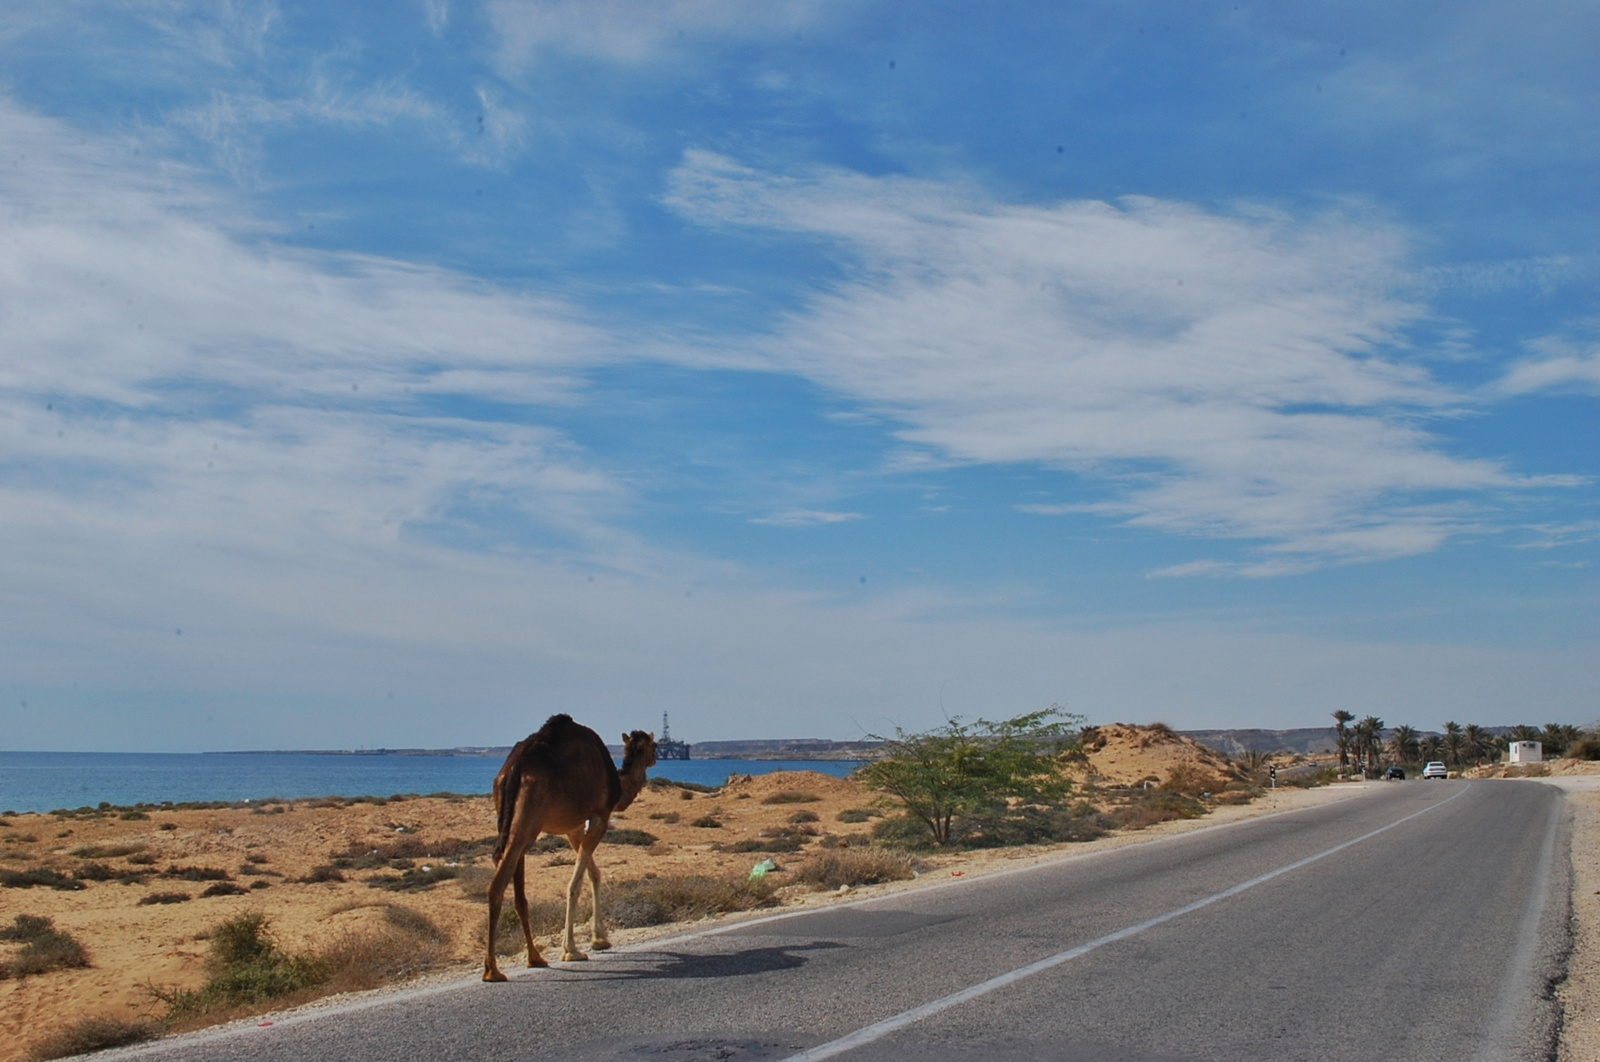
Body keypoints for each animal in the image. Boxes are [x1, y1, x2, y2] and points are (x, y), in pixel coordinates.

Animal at [480, 713, 656, 978]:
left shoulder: (573, 827)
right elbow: (576, 882)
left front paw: (599, 938)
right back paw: (493, 970)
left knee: (517, 889)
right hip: (529, 817)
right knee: (497, 884)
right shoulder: (600, 816)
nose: (656, 757)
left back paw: (535, 957)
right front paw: (572, 949)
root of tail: (514, 769)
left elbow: (594, 873)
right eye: (655, 745)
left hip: (510, 818)